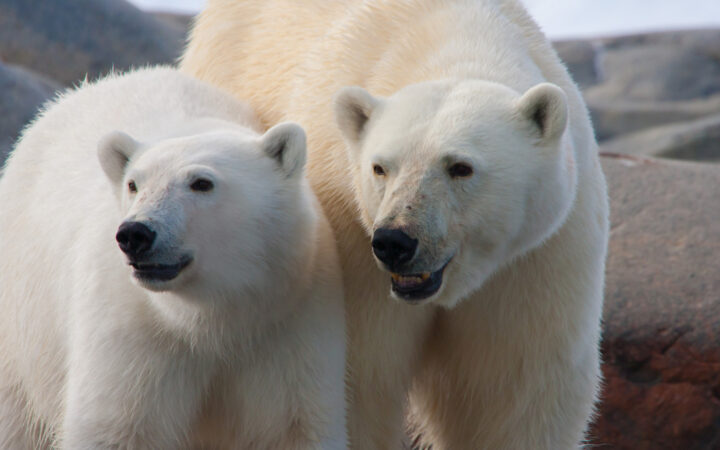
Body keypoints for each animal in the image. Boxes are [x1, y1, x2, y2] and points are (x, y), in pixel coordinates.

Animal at [0, 67, 347, 449]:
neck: (210, 320)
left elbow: (295, 425)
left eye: (201, 182)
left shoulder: (289, 326)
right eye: (134, 184)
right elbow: (114, 428)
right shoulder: (133, 334)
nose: (135, 234)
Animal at [181, 0, 609, 448]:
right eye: (380, 167)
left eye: (461, 167)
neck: (457, 38)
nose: (395, 242)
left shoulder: (539, 257)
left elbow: (518, 390)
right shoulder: (351, 241)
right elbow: (362, 383)